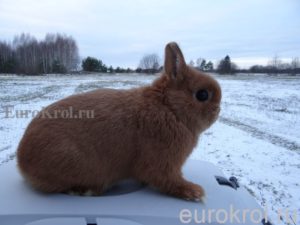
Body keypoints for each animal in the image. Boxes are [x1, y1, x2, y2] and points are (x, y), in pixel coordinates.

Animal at [17, 42, 221, 200]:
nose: (218, 110)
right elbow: (167, 180)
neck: (169, 108)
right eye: (202, 95)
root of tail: (22, 161)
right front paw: (194, 192)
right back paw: (86, 190)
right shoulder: (162, 163)